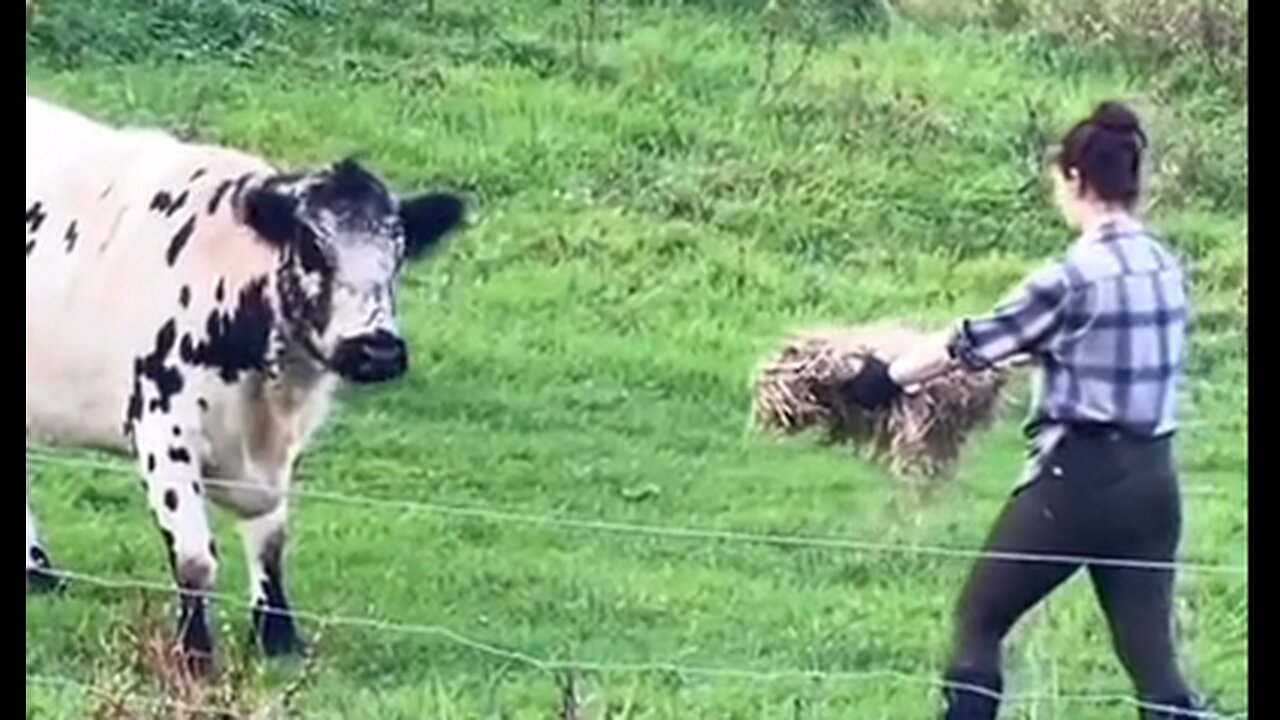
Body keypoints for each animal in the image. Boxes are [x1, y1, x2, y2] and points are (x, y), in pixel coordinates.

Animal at [27, 92, 468, 671]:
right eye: (312, 247)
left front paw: (277, 636)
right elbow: (195, 556)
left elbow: (271, 541)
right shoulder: (162, 427)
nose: (376, 349)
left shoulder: (282, 446)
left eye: (397, 255)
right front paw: (195, 654)